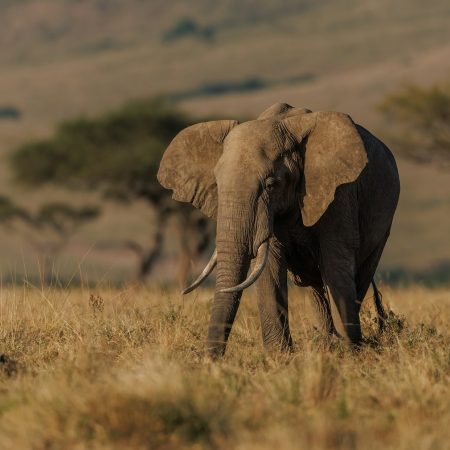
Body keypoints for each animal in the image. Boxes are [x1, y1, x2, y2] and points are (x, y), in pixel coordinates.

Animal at [156, 103, 400, 358]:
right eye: (217, 185)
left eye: (271, 185)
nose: (211, 359)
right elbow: (270, 266)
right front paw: (279, 356)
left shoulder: (339, 193)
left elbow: (336, 264)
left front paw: (349, 355)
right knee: (314, 288)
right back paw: (326, 343)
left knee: (358, 275)